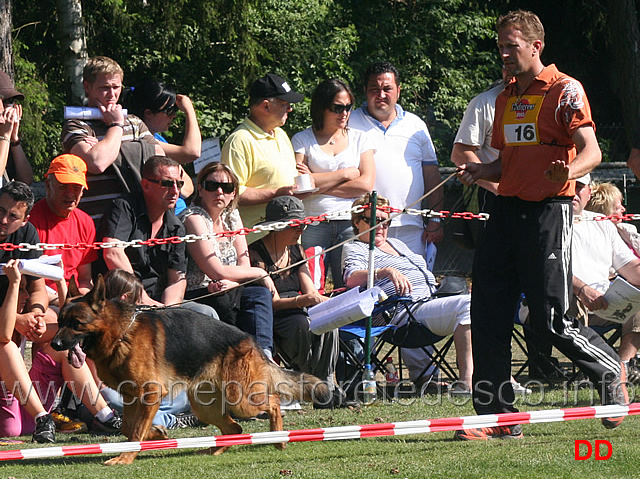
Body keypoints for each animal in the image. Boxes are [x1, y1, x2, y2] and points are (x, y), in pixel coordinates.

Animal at [51, 278, 330, 464]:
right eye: (60, 321)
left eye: (76, 324)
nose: (54, 344)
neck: (121, 334)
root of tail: (251, 341)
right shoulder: (131, 397)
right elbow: (128, 429)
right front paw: (157, 433)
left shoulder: (150, 394)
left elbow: (135, 432)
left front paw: (125, 457)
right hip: (204, 406)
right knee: (234, 430)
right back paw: (214, 450)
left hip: (240, 399)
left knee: (272, 402)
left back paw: (279, 438)